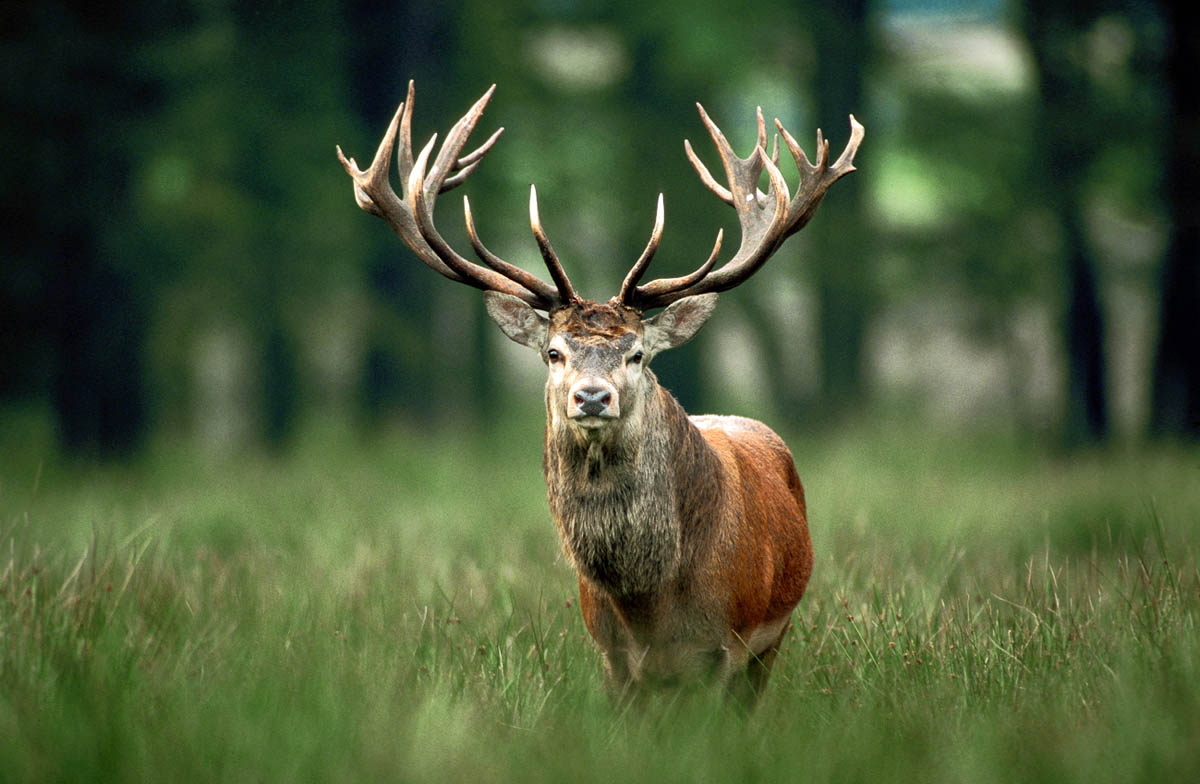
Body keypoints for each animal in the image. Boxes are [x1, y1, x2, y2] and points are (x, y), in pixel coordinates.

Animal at [337, 82, 863, 702]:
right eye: (554, 352)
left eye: (638, 354)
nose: (592, 397)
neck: (650, 605)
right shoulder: (612, 659)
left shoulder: (728, 650)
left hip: (771, 642)